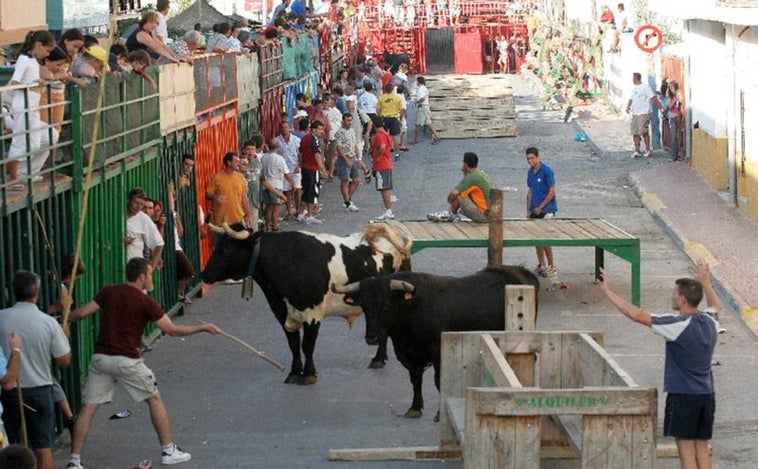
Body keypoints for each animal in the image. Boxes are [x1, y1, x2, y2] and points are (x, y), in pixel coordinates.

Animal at [199, 223, 412, 384]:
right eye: (217, 245)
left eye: (227, 248)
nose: (204, 274)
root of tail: (389, 228)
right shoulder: (282, 313)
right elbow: (293, 344)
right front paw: (294, 372)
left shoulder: (313, 313)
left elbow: (307, 344)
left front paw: (309, 374)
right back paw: (379, 359)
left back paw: (378, 358)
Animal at [334, 266, 540, 416]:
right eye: (364, 306)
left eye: (385, 305)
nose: (372, 337)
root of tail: (520, 272)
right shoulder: (407, 354)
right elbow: (415, 379)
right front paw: (415, 408)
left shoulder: (437, 350)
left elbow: (438, 381)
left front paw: (440, 414)